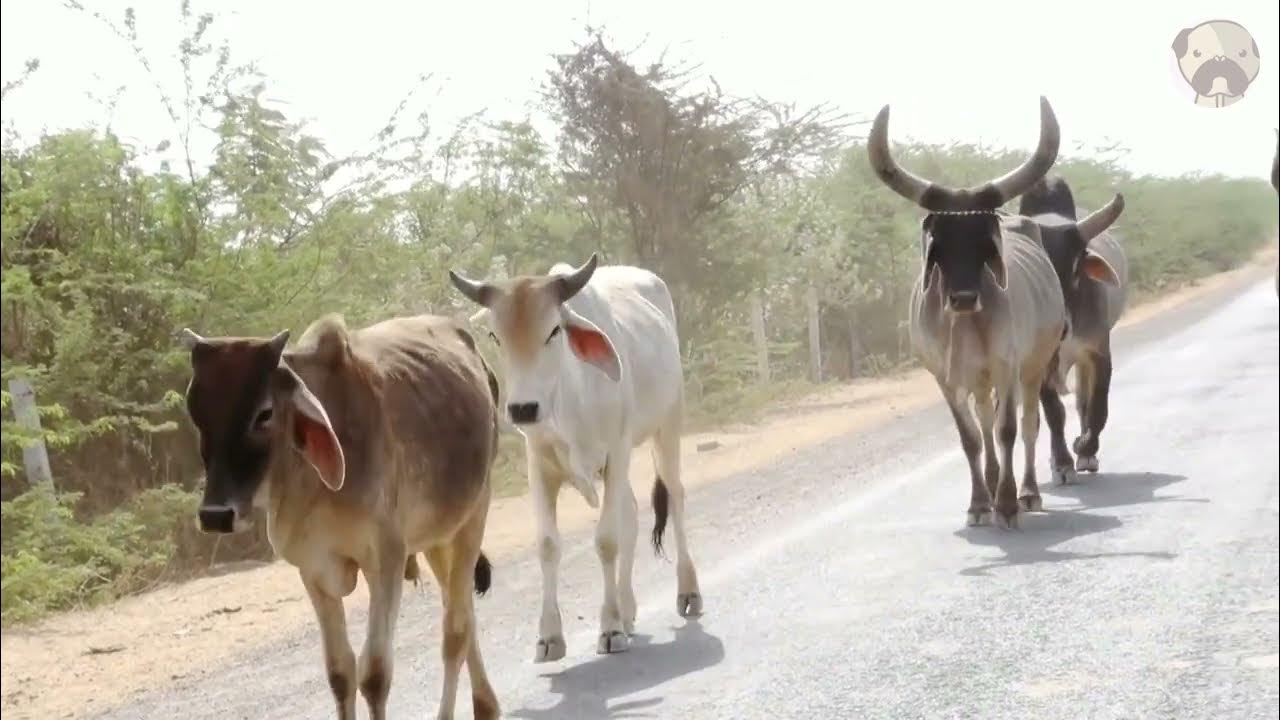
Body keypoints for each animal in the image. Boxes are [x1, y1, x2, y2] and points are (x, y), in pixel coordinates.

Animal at [179, 313, 502, 720]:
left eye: (264, 414)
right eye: (197, 413)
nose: (216, 515)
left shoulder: (386, 560)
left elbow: (375, 674)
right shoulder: (314, 570)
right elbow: (340, 672)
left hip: (474, 516)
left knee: (455, 631)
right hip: (438, 536)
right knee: (462, 611)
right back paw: (486, 705)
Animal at [448, 254, 702, 663]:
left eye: (554, 331)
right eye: (495, 337)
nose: (522, 409)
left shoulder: (617, 452)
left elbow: (607, 540)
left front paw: (610, 628)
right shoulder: (539, 466)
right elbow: (548, 545)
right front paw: (550, 636)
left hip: (667, 425)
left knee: (674, 496)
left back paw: (687, 592)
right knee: (631, 513)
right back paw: (628, 608)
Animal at [867, 96, 1067, 529]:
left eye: (984, 242)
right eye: (939, 244)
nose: (961, 298)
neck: (966, 323)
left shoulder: (1008, 366)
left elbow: (1009, 430)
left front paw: (1006, 504)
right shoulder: (944, 379)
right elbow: (971, 437)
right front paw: (979, 503)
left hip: (1032, 369)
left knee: (1028, 424)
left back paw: (1027, 491)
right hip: (978, 379)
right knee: (985, 421)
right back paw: (990, 485)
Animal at [1018, 176, 1127, 477]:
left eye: (1077, 265)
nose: (1061, 327)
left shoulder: (1098, 352)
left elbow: (1097, 408)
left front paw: (1084, 448)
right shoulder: (1040, 361)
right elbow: (1055, 413)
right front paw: (1062, 460)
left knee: (1083, 402)